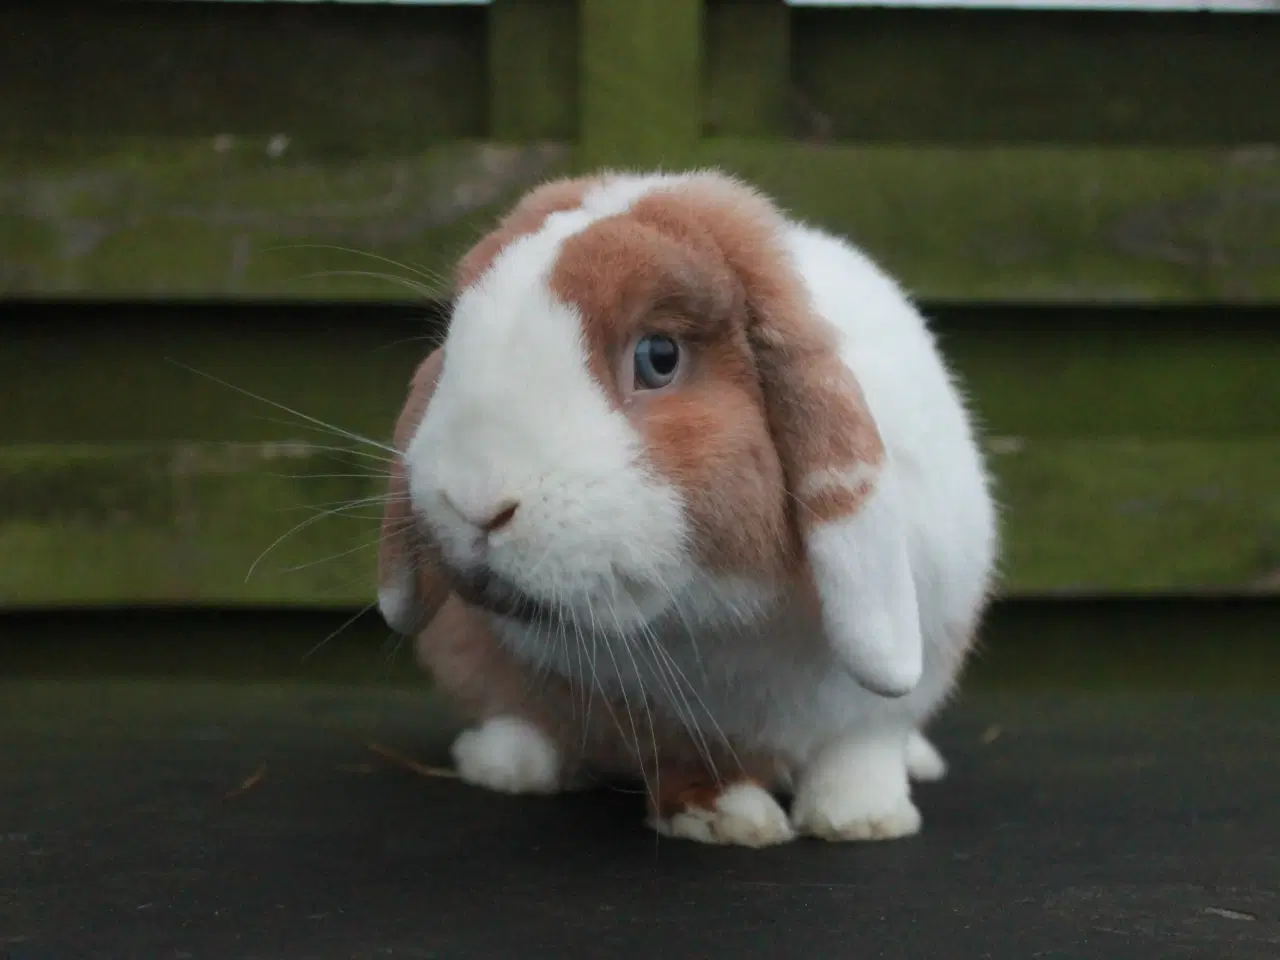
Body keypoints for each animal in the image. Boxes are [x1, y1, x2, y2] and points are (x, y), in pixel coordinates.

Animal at [376, 171, 998, 849]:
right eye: (457, 340)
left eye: (659, 357)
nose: (474, 504)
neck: (715, 611)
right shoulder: (653, 710)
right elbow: (685, 757)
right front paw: (727, 818)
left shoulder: (899, 673)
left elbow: (862, 746)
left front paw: (862, 819)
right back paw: (508, 762)